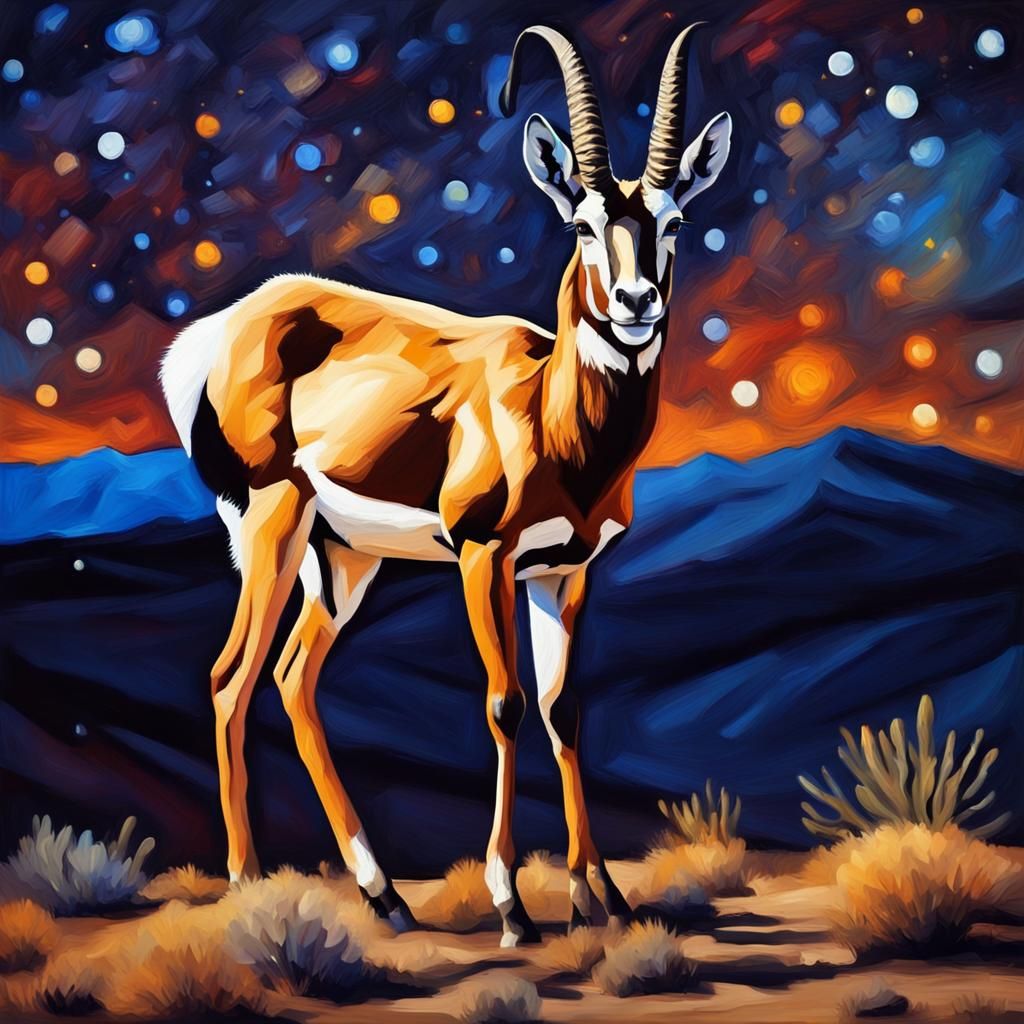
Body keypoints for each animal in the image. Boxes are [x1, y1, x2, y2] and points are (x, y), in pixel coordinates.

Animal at [160, 24, 731, 946]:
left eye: (674, 219)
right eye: (582, 222)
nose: (637, 300)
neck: (549, 413)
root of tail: (221, 329)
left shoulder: (566, 572)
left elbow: (564, 708)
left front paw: (599, 897)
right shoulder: (481, 557)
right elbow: (505, 704)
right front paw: (512, 908)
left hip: (344, 561)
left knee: (293, 677)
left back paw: (384, 895)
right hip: (271, 529)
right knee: (230, 676)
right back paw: (248, 883)